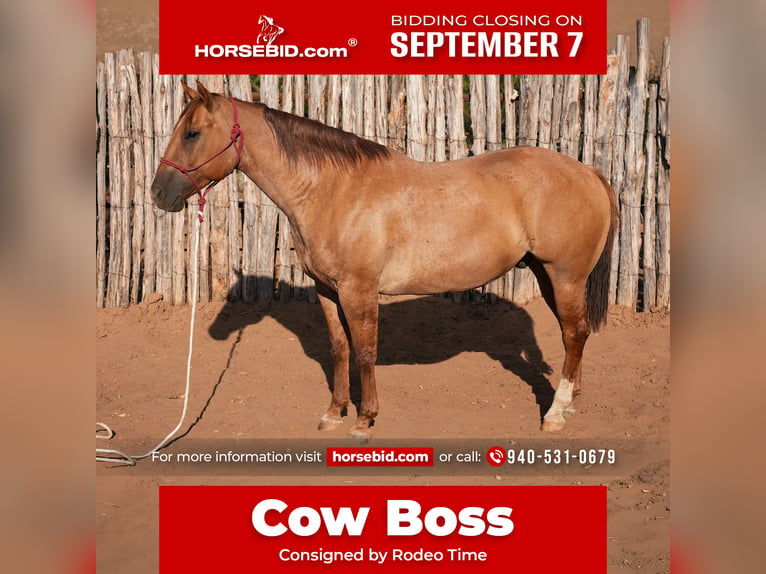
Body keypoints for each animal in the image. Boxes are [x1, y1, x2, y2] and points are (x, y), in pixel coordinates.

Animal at [151, 81, 619, 443]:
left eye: (192, 133)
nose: (158, 193)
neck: (332, 190)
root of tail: (588, 172)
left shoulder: (359, 290)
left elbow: (365, 352)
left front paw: (364, 421)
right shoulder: (327, 290)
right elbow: (339, 349)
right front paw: (334, 412)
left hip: (565, 275)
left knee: (575, 333)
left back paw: (555, 414)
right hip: (549, 275)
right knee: (572, 335)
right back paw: (569, 403)